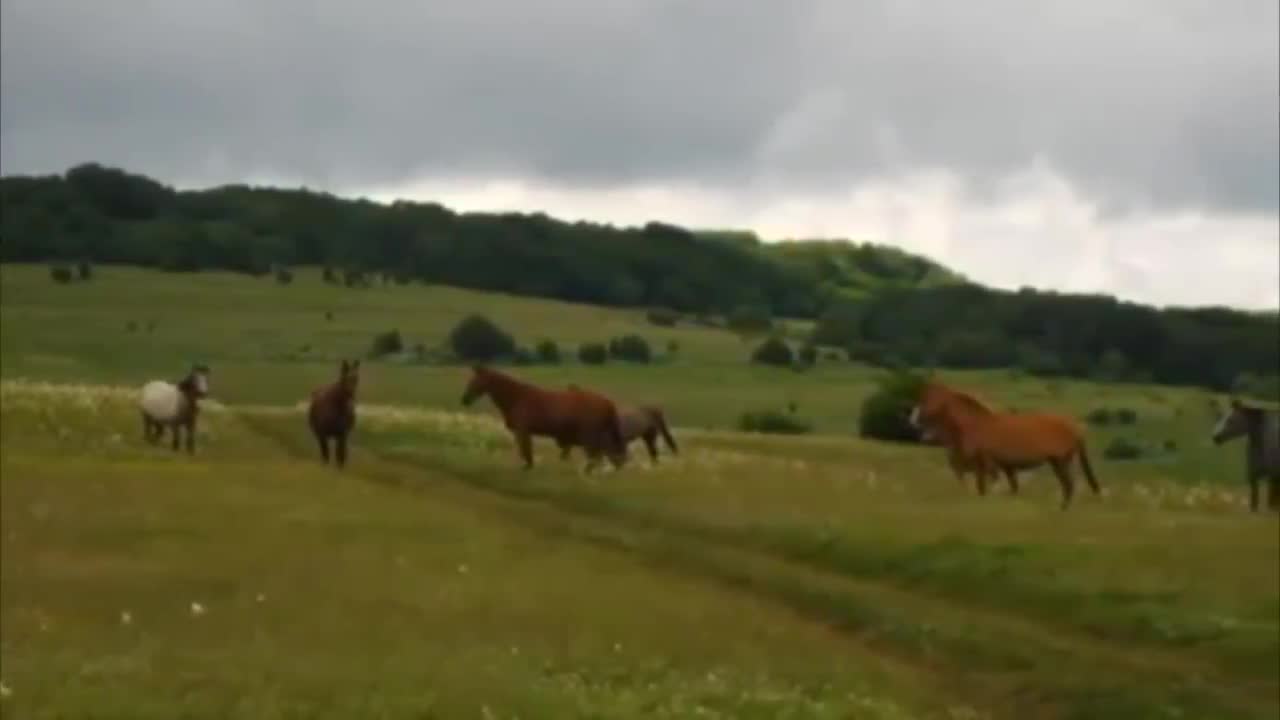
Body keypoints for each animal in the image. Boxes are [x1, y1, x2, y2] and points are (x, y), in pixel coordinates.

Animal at [465, 363, 629, 471]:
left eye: (474, 381)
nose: (464, 399)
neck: (516, 398)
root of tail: (609, 404)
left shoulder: (523, 431)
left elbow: (527, 454)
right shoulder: (523, 432)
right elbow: (526, 454)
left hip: (590, 437)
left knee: (597, 459)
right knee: (603, 458)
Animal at [911, 379, 1100, 507]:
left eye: (929, 398)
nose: (912, 420)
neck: (976, 424)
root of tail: (1075, 426)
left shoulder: (987, 463)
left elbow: (988, 488)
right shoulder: (987, 467)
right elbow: (986, 489)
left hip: (1061, 462)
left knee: (1069, 486)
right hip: (1056, 462)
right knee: (1067, 486)